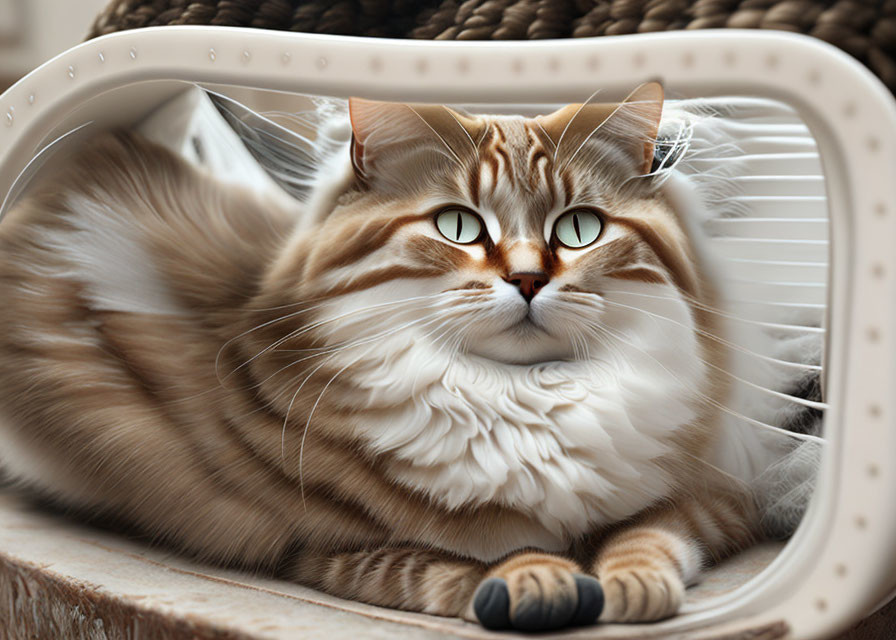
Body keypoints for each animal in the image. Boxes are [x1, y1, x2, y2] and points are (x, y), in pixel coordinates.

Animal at [0, 82, 796, 632]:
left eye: (579, 229)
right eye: (457, 225)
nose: (528, 279)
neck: (522, 396)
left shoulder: (715, 494)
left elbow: (647, 533)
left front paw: (628, 584)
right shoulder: (326, 547)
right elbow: (464, 562)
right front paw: (540, 581)